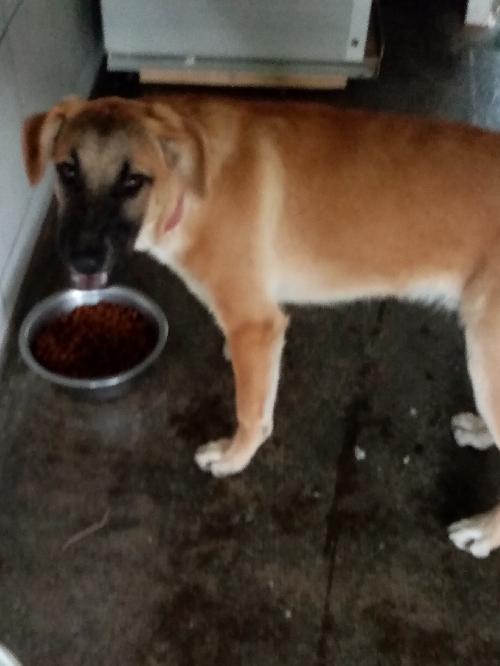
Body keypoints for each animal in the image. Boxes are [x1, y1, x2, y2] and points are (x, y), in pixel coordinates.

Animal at [22, 94, 500, 558]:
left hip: (485, 355)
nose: (82, 260)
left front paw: (232, 458)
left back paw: (482, 531)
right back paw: (479, 430)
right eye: (67, 170)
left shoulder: (255, 324)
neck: (190, 184)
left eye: (133, 181)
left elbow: (251, 412)